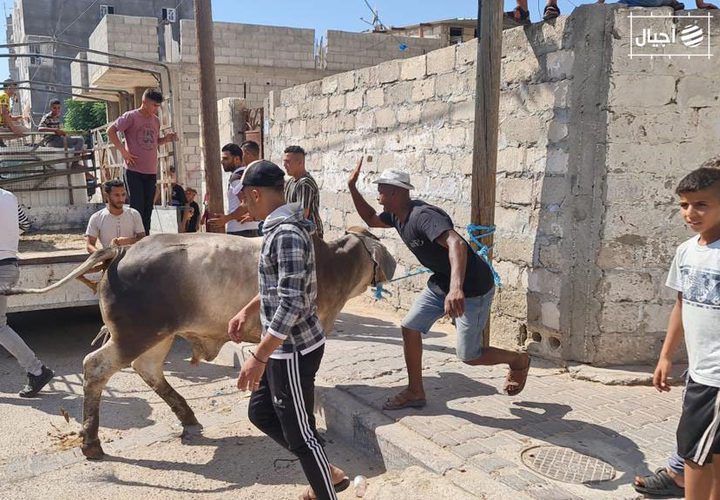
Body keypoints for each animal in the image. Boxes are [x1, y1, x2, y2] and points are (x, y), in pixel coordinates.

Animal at [1, 229, 394, 458]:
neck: (332, 262)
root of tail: (121, 252)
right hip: (136, 335)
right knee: (94, 367)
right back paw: (91, 442)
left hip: (157, 337)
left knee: (147, 370)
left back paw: (187, 417)